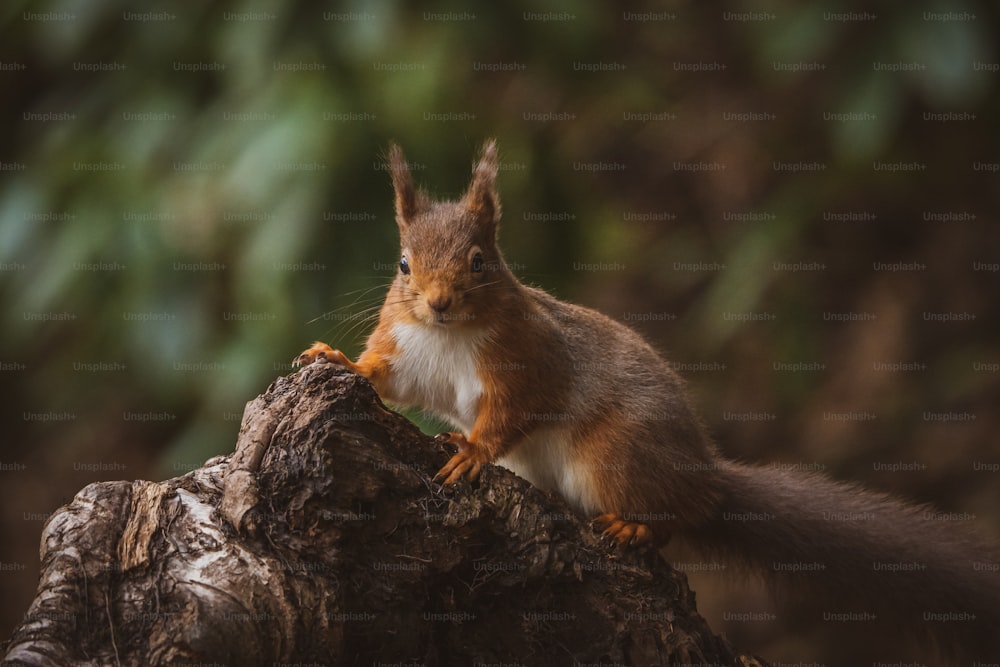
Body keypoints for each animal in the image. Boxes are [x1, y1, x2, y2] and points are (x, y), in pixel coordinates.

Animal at [292, 141, 1000, 664]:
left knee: (673, 517)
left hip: (614, 457)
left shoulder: (529, 362)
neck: (448, 334)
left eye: (479, 261)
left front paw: (471, 451)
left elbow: (515, 413)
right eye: (403, 265)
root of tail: (705, 473)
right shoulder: (407, 349)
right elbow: (384, 378)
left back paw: (637, 526)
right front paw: (336, 359)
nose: (438, 303)